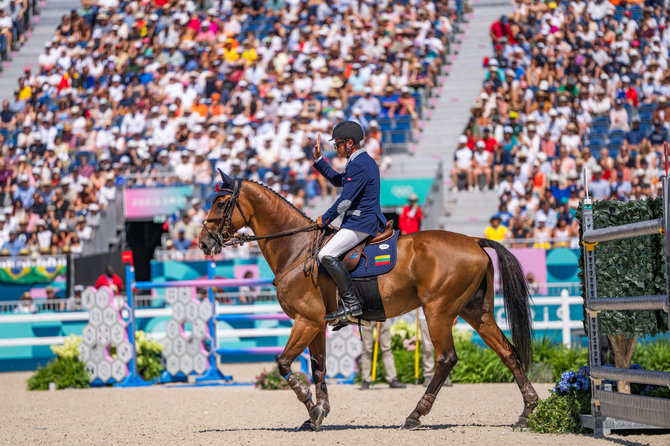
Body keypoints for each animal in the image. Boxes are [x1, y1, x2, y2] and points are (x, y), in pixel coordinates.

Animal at [197, 172, 540, 430]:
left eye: (222, 202)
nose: (204, 242)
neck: (296, 249)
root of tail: (473, 241)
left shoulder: (305, 321)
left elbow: (283, 363)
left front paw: (311, 408)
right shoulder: (316, 324)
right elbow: (319, 368)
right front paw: (318, 413)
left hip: (438, 311)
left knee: (446, 359)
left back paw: (415, 415)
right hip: (475, 312)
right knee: (507, 352)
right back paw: (526, 411)